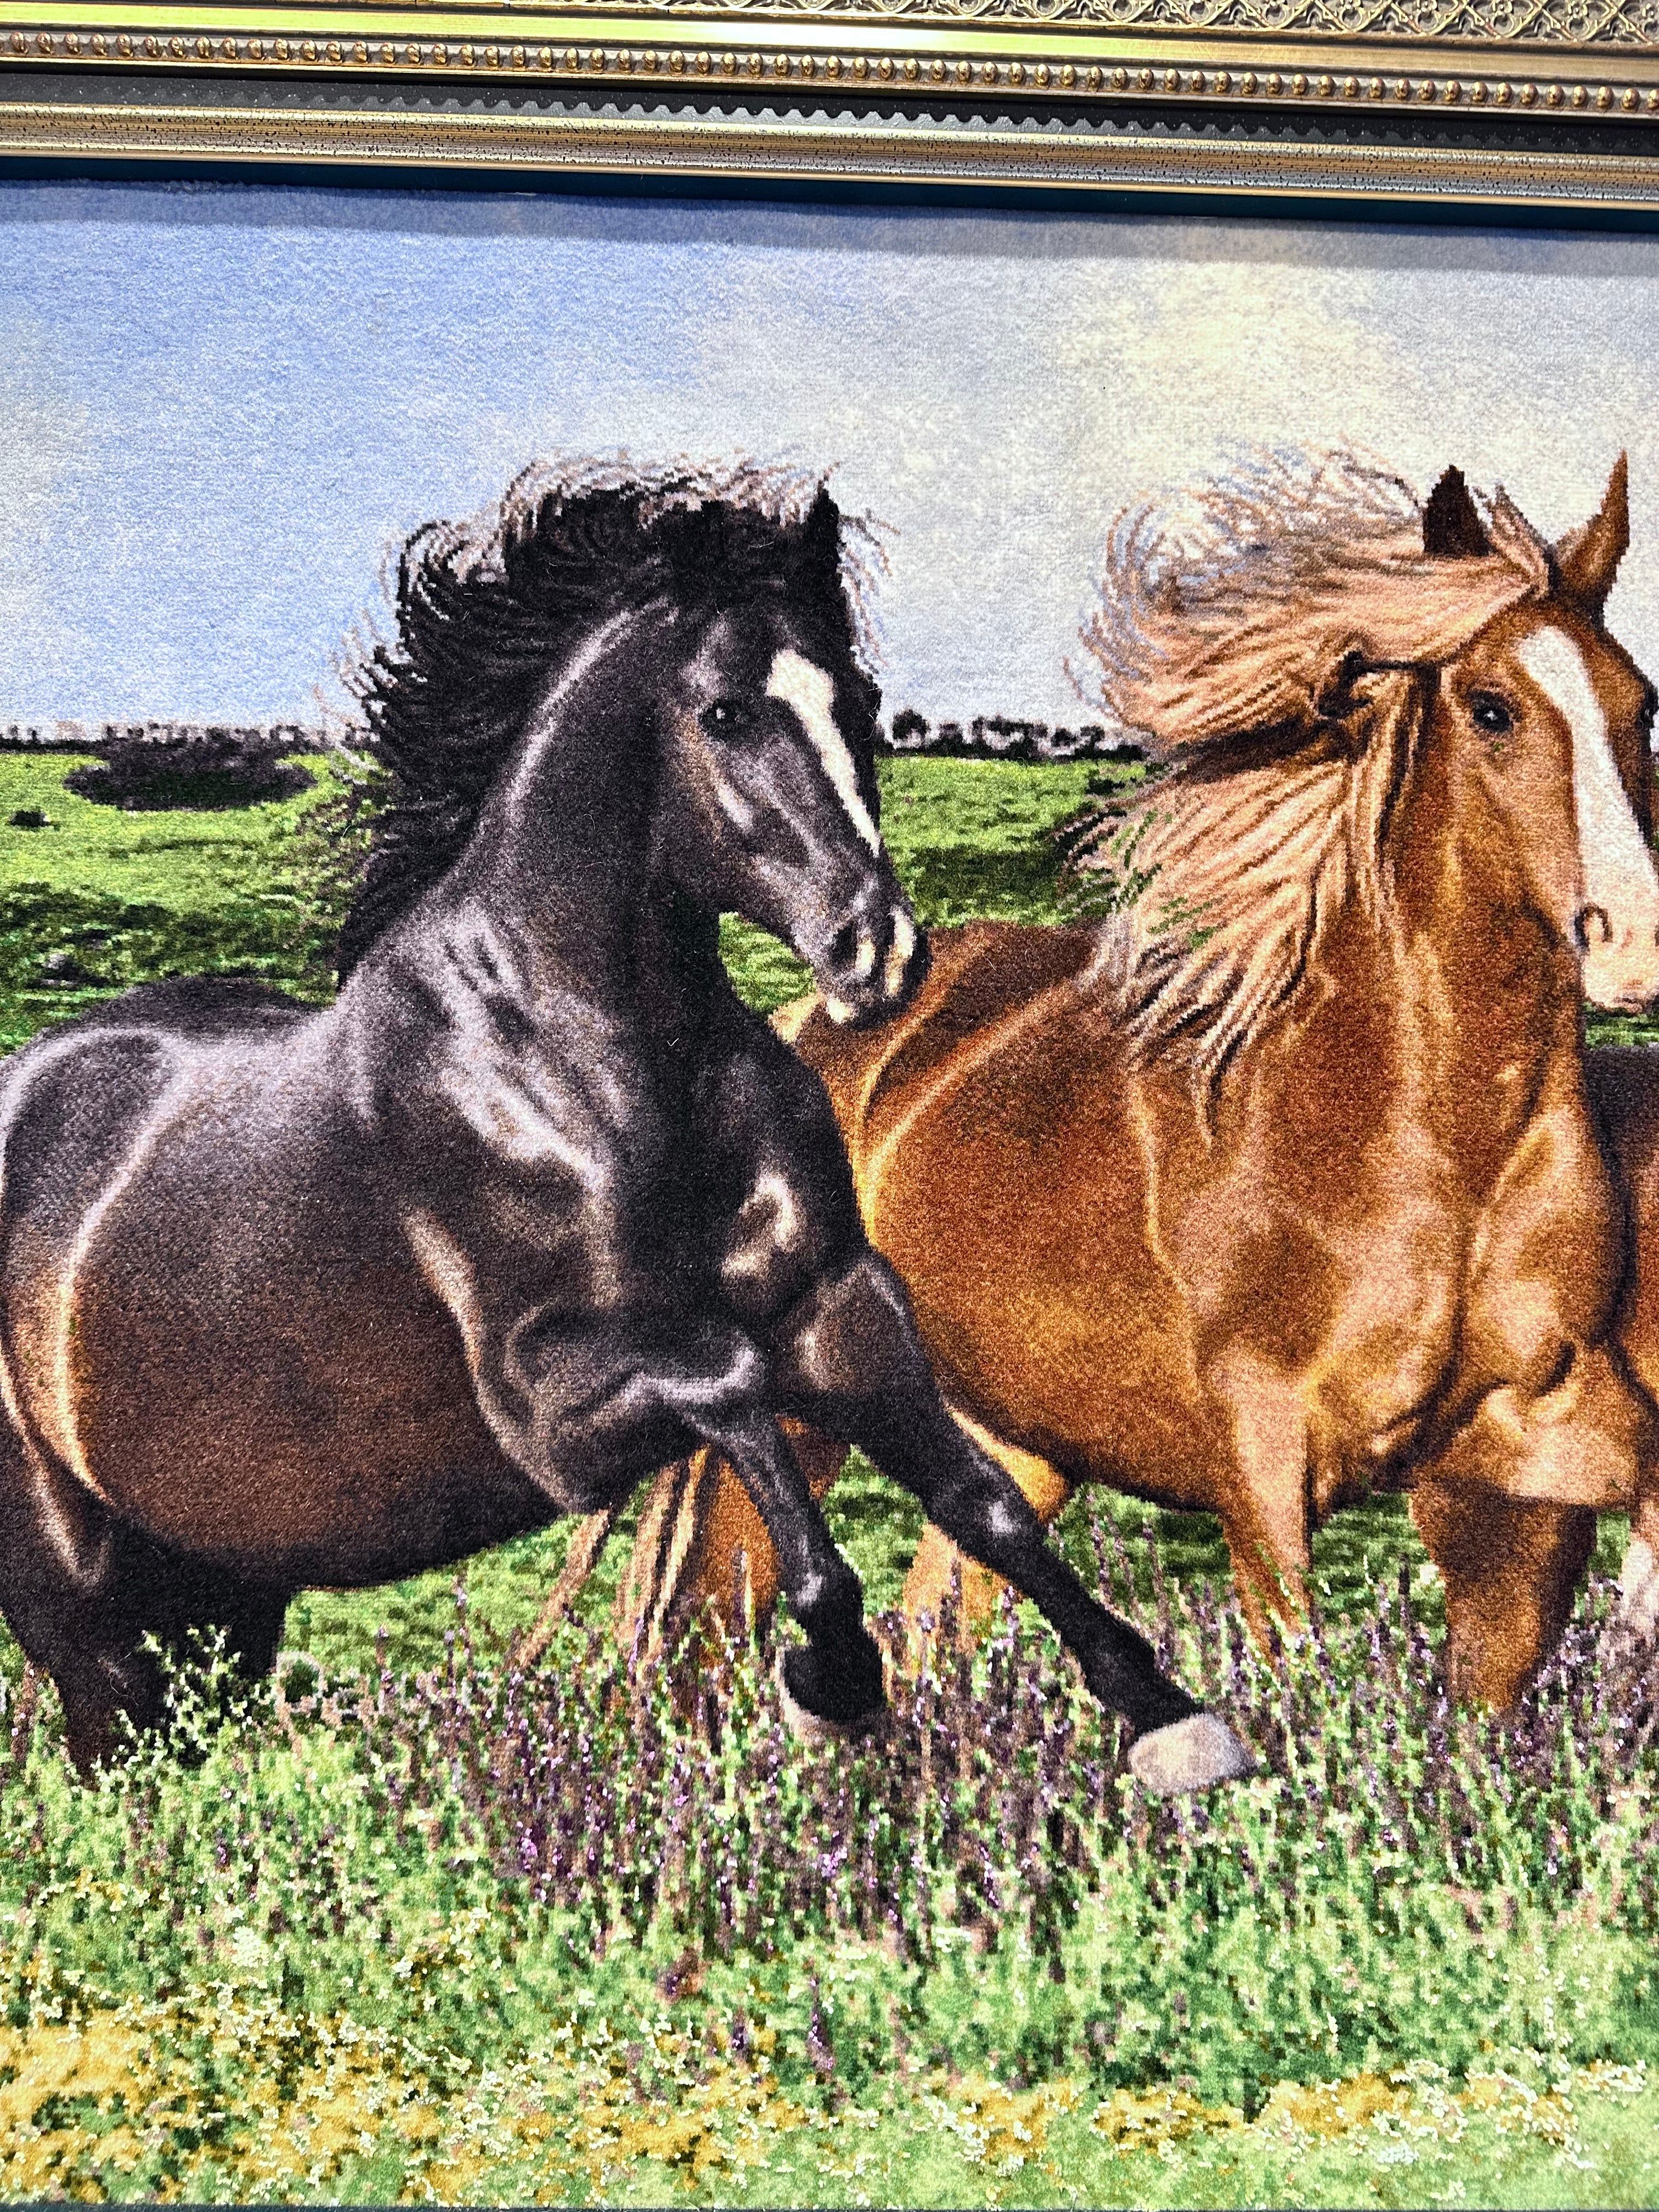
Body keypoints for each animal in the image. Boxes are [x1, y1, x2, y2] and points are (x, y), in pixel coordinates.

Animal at [0, 459, 1251, 1794]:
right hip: (87, 1610)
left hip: (222, 1603)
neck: (601, 1060)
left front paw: (1173, 1722)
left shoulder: (838, 1301)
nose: (876, 952)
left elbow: (982, 1500)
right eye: (726, 715)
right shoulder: (554, 1410)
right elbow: (739, 1389)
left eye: (860, 700)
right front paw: (833, 1680)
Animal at [605, 451, 1659, 1717]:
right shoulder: (1264, 1465)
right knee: (703, 1652)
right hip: (794, 1430)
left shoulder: (1526, 1466)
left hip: (1012, 1443)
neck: (1425, 1141)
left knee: (926, 1638)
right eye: (1492, 708)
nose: (1634, 942)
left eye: (1641, 704)